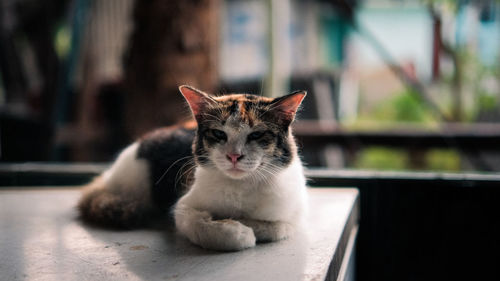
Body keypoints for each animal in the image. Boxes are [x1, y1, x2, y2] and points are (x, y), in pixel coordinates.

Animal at [78, 84, 306, 250]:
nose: (234, 156)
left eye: (256, 135)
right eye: (219, 134)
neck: (240, 186)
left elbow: (277, 227)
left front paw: (245, 223)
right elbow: (201, 225)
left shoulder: (294, 215)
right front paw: (238, 231)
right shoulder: (183, 207)